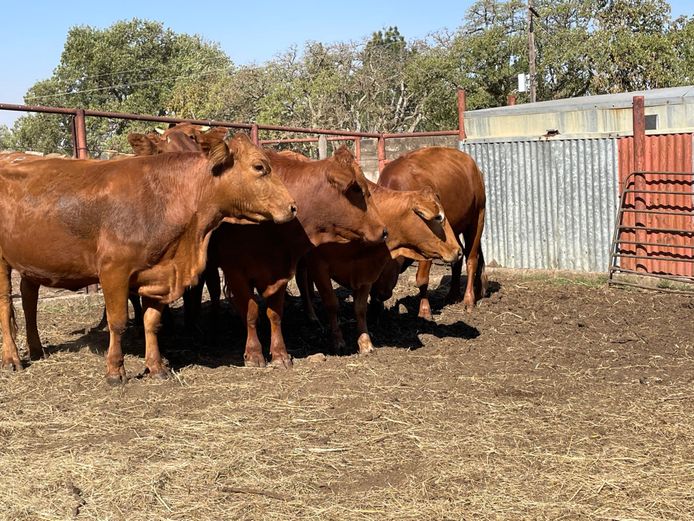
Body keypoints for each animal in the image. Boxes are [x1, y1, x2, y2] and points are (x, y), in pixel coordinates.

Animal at [0, 132, 297, 382]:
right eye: (259, 167)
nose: (293, 206)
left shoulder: (158, 272)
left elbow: (151, 322)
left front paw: (156, 367)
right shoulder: (114, 271)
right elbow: (118, 323)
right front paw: (115, 370)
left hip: (31, 262)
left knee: (28, 297)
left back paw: (36, 349)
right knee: (6, 305)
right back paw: (12, 358)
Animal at [209, 146, 387, 368]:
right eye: (356, 189)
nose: (383, 230)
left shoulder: (280, 270)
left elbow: (275, 313)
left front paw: (280, 354)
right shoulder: (235, 271)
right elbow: (251, 312)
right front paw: (254, 354)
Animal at [299, 181, 463, 354]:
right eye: (439, 217)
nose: (458, 251)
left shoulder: (366, 271)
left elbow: (360, 308)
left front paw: (365, 343)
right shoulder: (319, 266)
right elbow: (331, 304)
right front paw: (338, 341)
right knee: (302, 282)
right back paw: (311, 315)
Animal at [375, 147, 487, 319]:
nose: (377, 295)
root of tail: (473, 165)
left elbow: (422, 279)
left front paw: (425, 310)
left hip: (477, 218)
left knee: (472, 259)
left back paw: (469, 300)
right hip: (454, 228)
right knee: (458, 257)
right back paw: (453, 295)